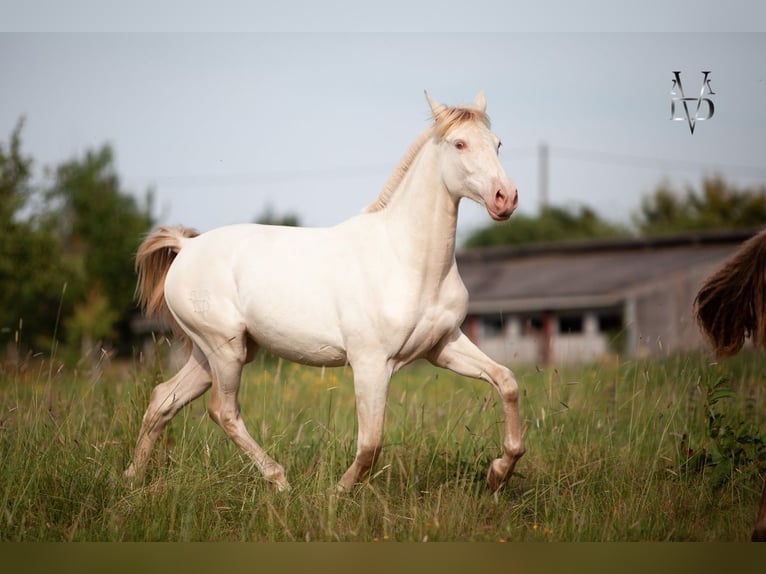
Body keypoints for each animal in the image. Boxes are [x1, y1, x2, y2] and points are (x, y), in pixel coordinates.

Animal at [125, 91, 524, 493]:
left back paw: (131, 478)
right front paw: (337, 492)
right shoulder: (371, 363)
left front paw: (498, 472)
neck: (408, 260)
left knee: (163, 399)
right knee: (223, 411)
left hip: (214, 354)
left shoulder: (443, 346)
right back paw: (280, 480)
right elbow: (371, 442)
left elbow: (506, 381)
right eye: (459, 143)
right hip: (225, 350)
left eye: (498, 144)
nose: (505, 198)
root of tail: (187, 248)